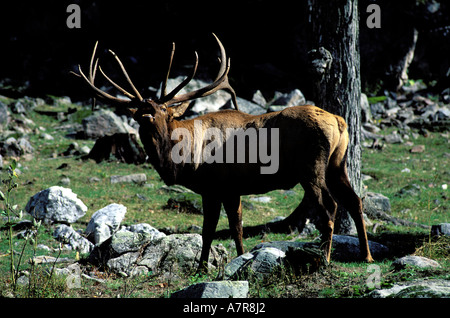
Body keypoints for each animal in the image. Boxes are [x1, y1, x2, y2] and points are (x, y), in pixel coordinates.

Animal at [74, 33, 374, 272]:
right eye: (138, 113)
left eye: (164, 110)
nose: (147, 112)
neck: (186, 161)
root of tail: (340, 121)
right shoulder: (229, 189)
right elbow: (232, 228)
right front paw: (234, 261)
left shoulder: (216, 186)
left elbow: (213, 229)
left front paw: (204, 267)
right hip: (338, 164)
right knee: (355, 200)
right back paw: (367, 256)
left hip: (311, 167)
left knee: (330, 207)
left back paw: (326, 258)